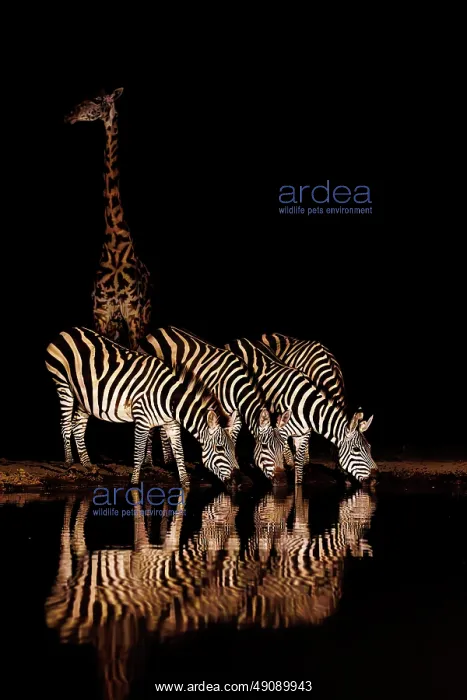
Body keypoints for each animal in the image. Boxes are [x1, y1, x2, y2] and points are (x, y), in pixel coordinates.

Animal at [45, 327, 239, 487]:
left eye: (233, 448)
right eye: (220, 448)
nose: (238, 482)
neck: (169, 399)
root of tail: (67, 331)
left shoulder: (171, 424)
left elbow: (180, 453)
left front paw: (185, 483)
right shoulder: (142, 420)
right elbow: (138, 453)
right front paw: (134, 482)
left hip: (85, 397)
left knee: (78, 426)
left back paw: (88, 465)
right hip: (63, 384)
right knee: (65, 424)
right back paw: (69, 462)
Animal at [138, 326, 285, 481]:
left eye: (283, 446)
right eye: (265, 446)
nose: (281, 480)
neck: (234, 386)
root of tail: (157, 330)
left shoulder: (236, 414)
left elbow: (232, 436)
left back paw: (169, 461)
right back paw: (148, 462)